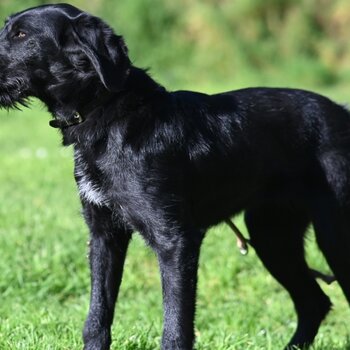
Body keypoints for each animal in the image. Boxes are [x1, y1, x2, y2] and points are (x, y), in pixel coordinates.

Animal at [0, 3, 350, 350]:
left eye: (21, 35)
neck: (109, 112)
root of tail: (342, 113)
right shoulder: (104, 235)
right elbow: (97, 315)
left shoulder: (176, 240)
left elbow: (176, 323)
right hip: (273, 235)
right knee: (314, 302)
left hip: (332, 234)